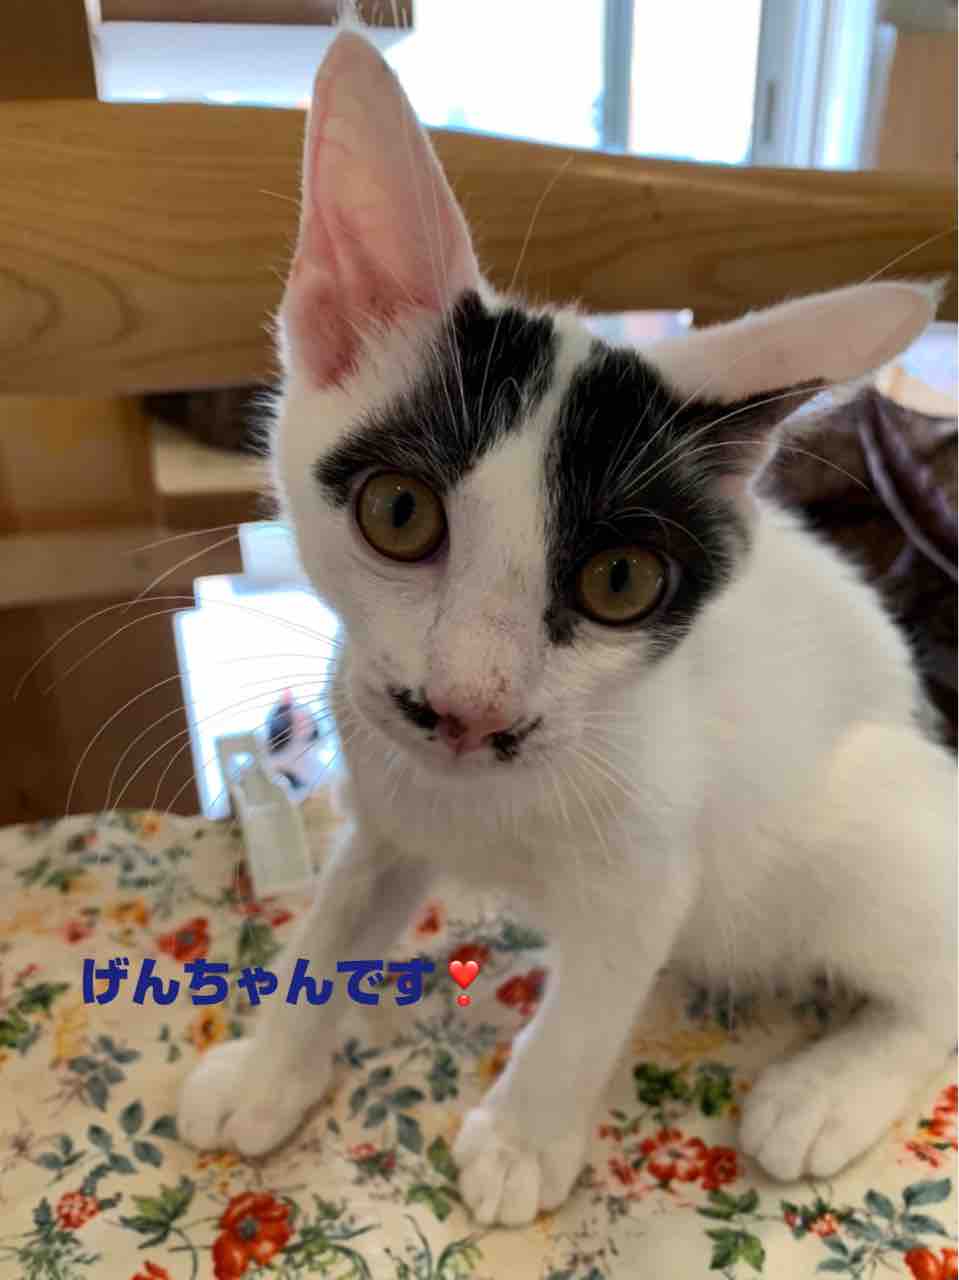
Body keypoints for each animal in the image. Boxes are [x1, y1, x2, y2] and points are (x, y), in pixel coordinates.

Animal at [178, 29, 957, 1227]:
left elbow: (592, 1000)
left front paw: (522, 1137)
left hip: (865, 814)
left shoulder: (650, 865)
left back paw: (826, 1089)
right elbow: (338, 914)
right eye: (398, 513)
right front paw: (272, 1068)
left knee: (938, 975)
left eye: (619, 580)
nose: (466, 709)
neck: (481, 801)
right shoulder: (387, 800)